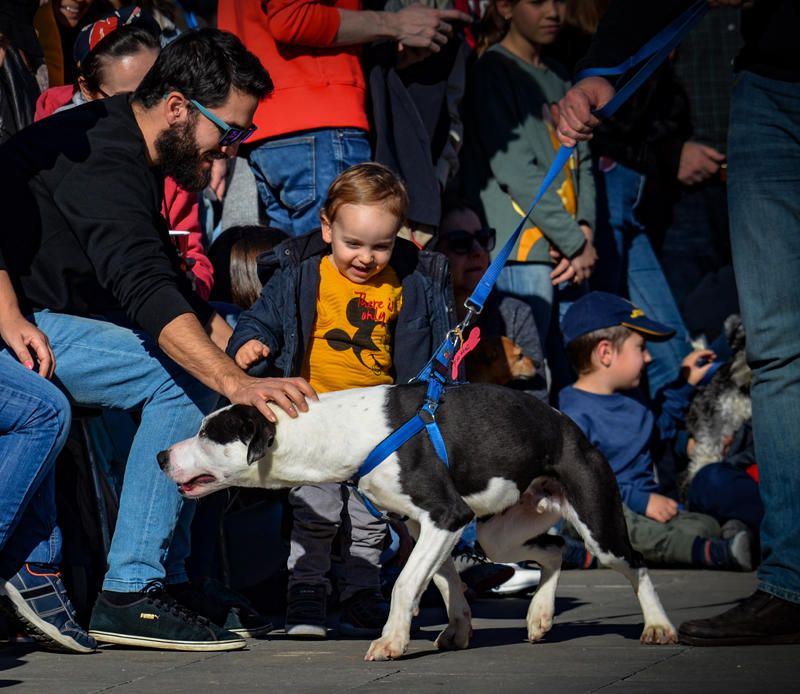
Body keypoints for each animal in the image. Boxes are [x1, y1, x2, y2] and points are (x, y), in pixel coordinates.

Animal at [159, 386, 680, 664]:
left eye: (207, 434)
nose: (162, 455)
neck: (340, 432)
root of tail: (570, 426)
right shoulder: (422, 526)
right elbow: (446, 581)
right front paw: (458, 630)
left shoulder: (447, 516)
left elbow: (406, 584)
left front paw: (392, 640)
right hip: (499, 531)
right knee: (552, 549)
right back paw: (539, 616)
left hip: (596, 521)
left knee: (633, 563)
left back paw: (658, 626)